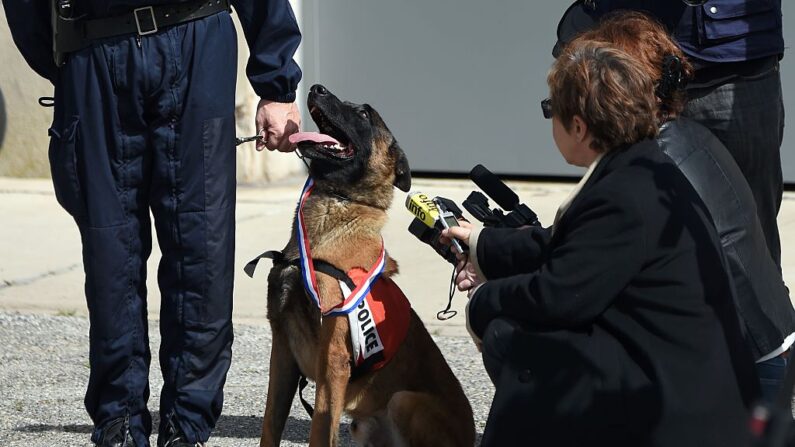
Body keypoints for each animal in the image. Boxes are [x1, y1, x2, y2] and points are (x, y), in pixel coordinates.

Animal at [260, 85, 472, 447]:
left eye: (363, 114)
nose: (315, 88)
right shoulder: (283, 353)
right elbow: (270, 425)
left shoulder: (332, 362)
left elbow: (319, 430)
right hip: (362, 425)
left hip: (404, 401)